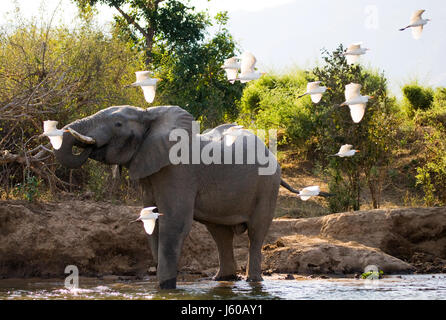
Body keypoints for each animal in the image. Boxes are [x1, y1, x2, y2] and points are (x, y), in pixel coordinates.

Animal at [53, 105, 328, 290]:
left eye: (118, 124)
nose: (87, 145)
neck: (150, 114)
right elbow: (153, 223)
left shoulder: (179, 172)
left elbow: (174, 225)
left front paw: (166, 288)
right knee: (220, 234)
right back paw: (223, 279)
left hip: (267, 186)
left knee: (255, 233)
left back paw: (253, 280)